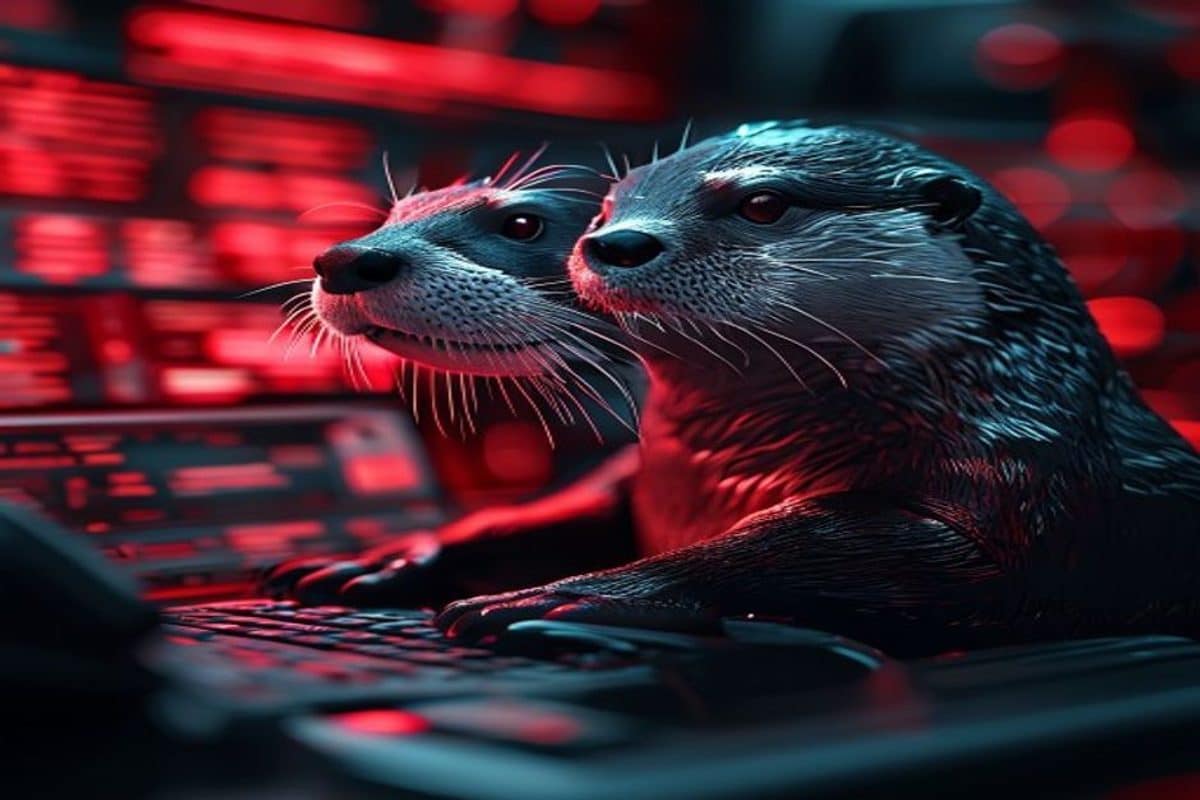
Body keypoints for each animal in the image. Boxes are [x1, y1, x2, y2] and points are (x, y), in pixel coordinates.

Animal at [426, 122, 1200, 656]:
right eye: (607, 208)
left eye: (763, 203)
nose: (614, 241)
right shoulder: (637, 485)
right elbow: (568, 508)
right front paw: (417, 556)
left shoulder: (1031, 482)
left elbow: (822, 543)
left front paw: (570, 591)